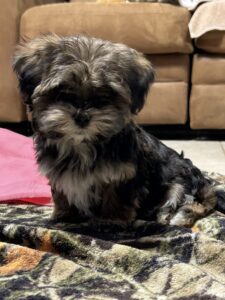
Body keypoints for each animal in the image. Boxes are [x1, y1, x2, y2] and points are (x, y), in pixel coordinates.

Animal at [13, 34, 225, 226]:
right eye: (61, 92)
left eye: (105, 95)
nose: (82, 117)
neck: (83, 145)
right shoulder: (58, 172)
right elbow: (63, 191)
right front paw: (66, 214)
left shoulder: (125, 173)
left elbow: (116, 194)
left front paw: (111, 219)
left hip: (180, 181)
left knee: (194, 202)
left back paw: (173, 217)